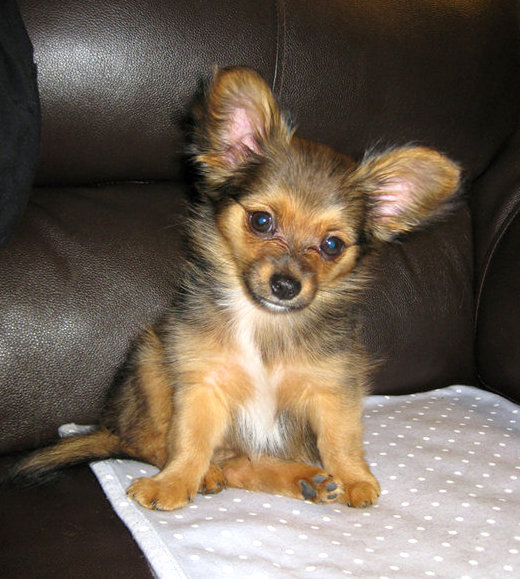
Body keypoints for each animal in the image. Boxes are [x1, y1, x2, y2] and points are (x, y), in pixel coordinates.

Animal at [11, 67, 460, 512]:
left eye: (332, 245)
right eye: (261, 221)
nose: (286, 285)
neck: (264, 323)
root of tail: (111, 427)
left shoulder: (332, 386)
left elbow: (341, 438)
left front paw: (354, 478)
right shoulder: (202, 384)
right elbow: (188, 443)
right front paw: (174, 483)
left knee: (240, 464)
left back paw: (305, 479)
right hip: (151, 358)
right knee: (151, 444)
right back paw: (208, 474)